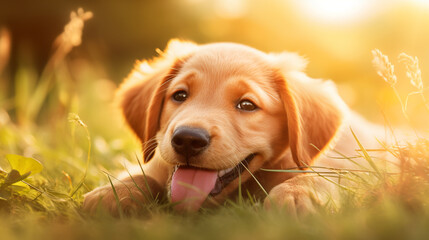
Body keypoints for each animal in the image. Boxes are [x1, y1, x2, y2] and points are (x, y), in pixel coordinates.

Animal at [83, 39, 394, 216]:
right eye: (180, 96)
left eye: (247, 105)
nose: (188, 139)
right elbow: (145, 172)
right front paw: (113, 192)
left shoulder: (351, 162)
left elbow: (326, 175)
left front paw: (298, 194)